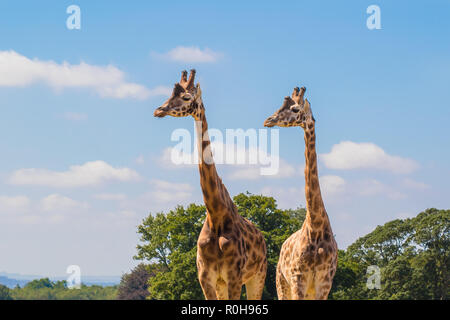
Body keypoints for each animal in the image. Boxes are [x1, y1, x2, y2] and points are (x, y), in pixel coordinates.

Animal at [155, 70, 268, 300]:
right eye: (170, 94)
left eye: (186, 97)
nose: (159, 110)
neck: (215, 215)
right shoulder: (206, 278)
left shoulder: (234, 277)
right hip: (222, 284)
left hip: (257, 276)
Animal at [264, 85, 338, 300]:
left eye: (295, 109)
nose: (268, 120)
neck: (315, 226)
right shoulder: (298, 279)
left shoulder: (324, 283)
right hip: (281, 283)